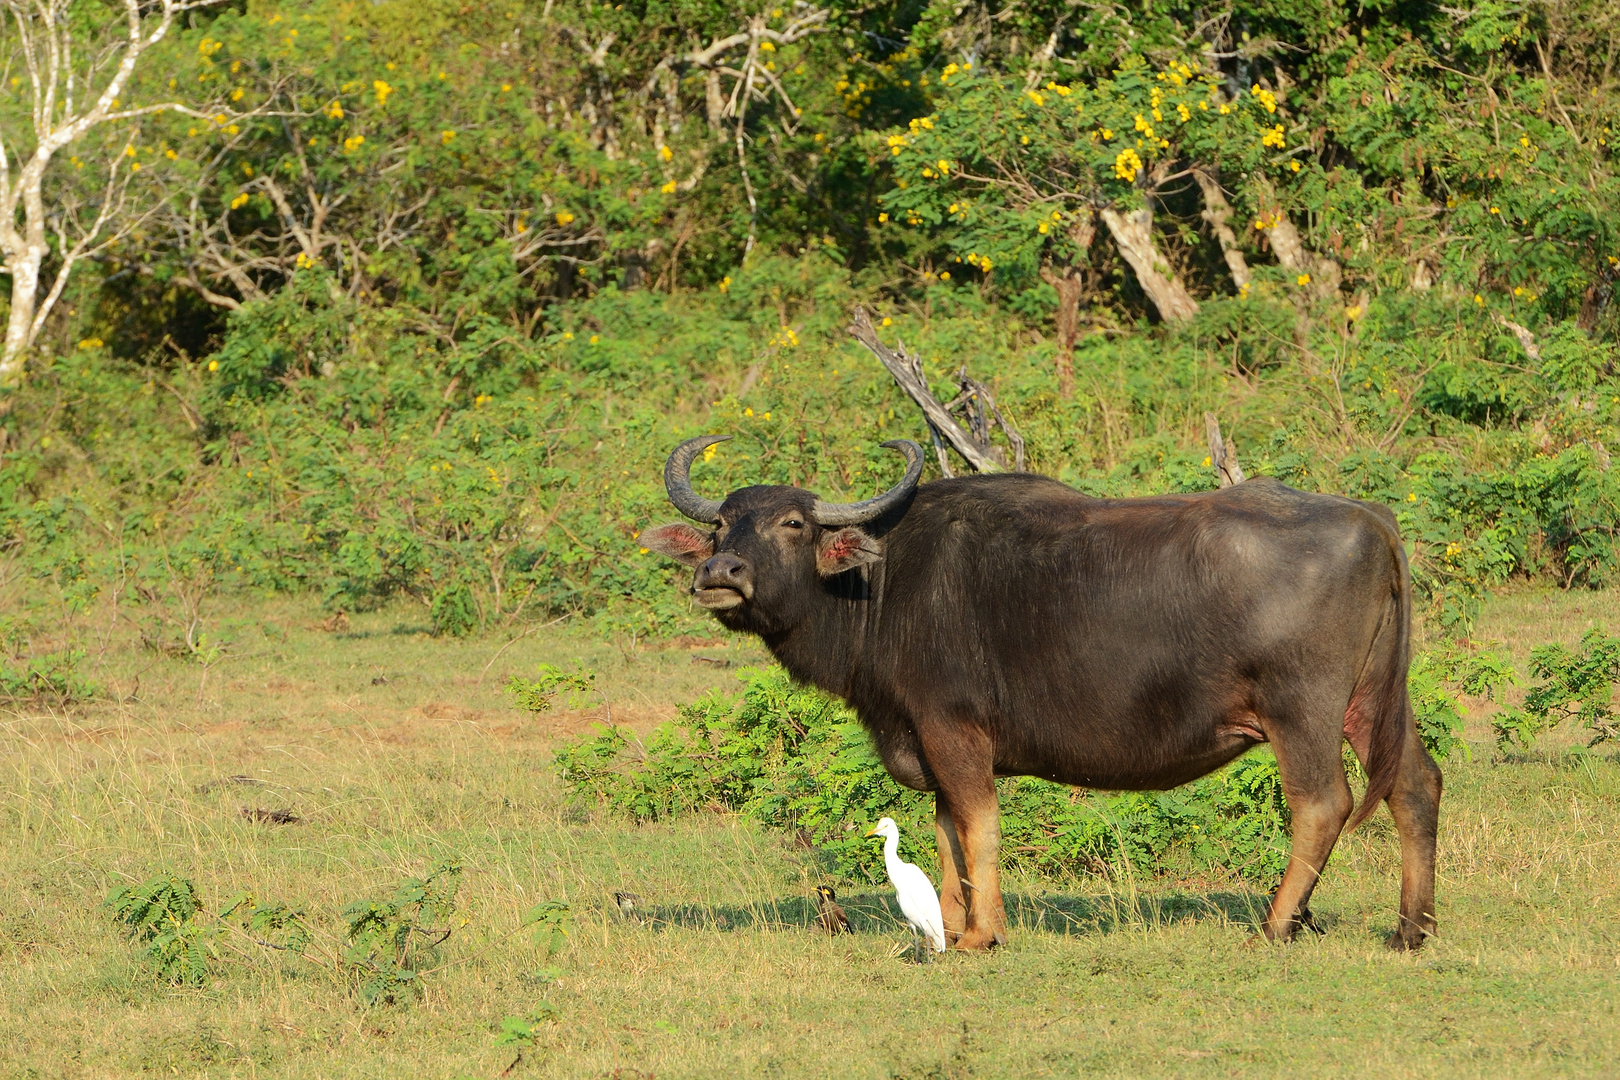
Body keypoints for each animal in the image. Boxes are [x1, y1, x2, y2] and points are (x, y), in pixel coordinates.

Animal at [641, 433, 1445, 952]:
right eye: (721, 523)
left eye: (792, 522)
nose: (721, 572)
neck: (881, 581)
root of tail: (1369, 518)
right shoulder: (933, 744)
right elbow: (947, 835)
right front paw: (954, 926)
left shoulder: (954, 730)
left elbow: (979, 828)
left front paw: (982, 935)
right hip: (1375, 703)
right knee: (1415, 785)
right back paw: (1411, 929)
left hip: (1301, 710)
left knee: (1324, 804)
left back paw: (1279, 924)